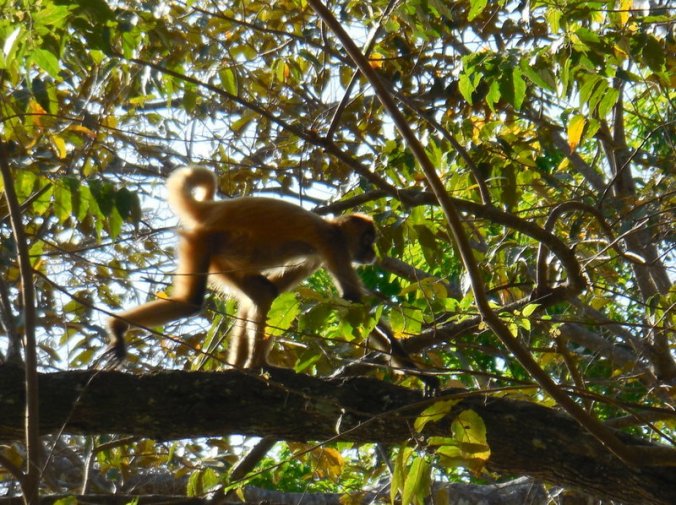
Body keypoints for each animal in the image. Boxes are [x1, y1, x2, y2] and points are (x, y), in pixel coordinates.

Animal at [107, 166, 438, 393]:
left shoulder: (319, 255)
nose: (371, 253)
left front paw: (417, 372)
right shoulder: (333, 245)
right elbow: (353, 301)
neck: (330, 227)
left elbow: (278, 290)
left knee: (262, 292)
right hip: (202, 241)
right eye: (368, 240)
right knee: (193, 302)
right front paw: (418, 372)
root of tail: (212, 209)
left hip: (218, 258)